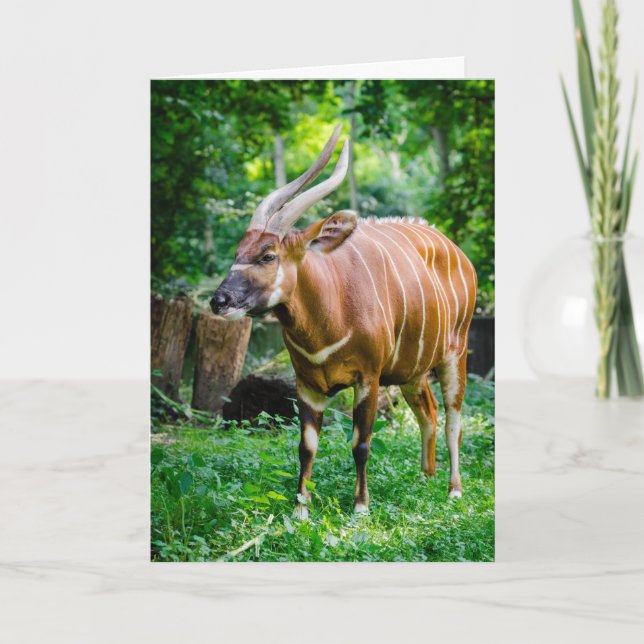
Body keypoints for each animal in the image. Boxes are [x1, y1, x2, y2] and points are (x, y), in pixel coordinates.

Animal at [211, 125, 477, 518]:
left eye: (268, 255)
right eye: (238, 252)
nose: (219, 300)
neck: (329, 316)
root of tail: (459, 252)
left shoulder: (368, 378)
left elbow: (361, 443)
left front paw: (361, 507)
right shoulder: (307, 384)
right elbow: (306, 446)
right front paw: (300, 510)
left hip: (454, 354)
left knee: (453, 419)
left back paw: (454, 490)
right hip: (411, 372)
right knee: (427, 411)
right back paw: (425, 478)